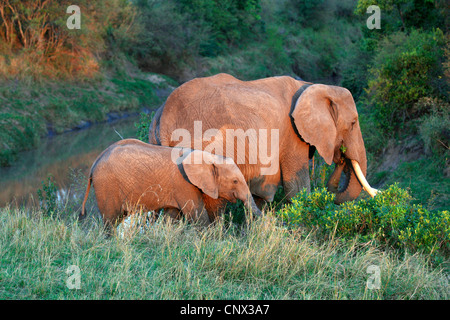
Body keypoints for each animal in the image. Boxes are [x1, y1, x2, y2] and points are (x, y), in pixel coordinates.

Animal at [79, 138, 258, 232]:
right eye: (235, 181)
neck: (207, 156)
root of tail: (95, 162)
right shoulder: (183, 183)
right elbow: (197, 215)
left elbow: (171, 216)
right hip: (106, 185)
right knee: (110, 220)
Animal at [149, 73, 378, 205]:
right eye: (353, 123)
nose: (341, 156)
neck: (311, 85)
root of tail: (164, 116)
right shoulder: (292, 133)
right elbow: (297, 185)